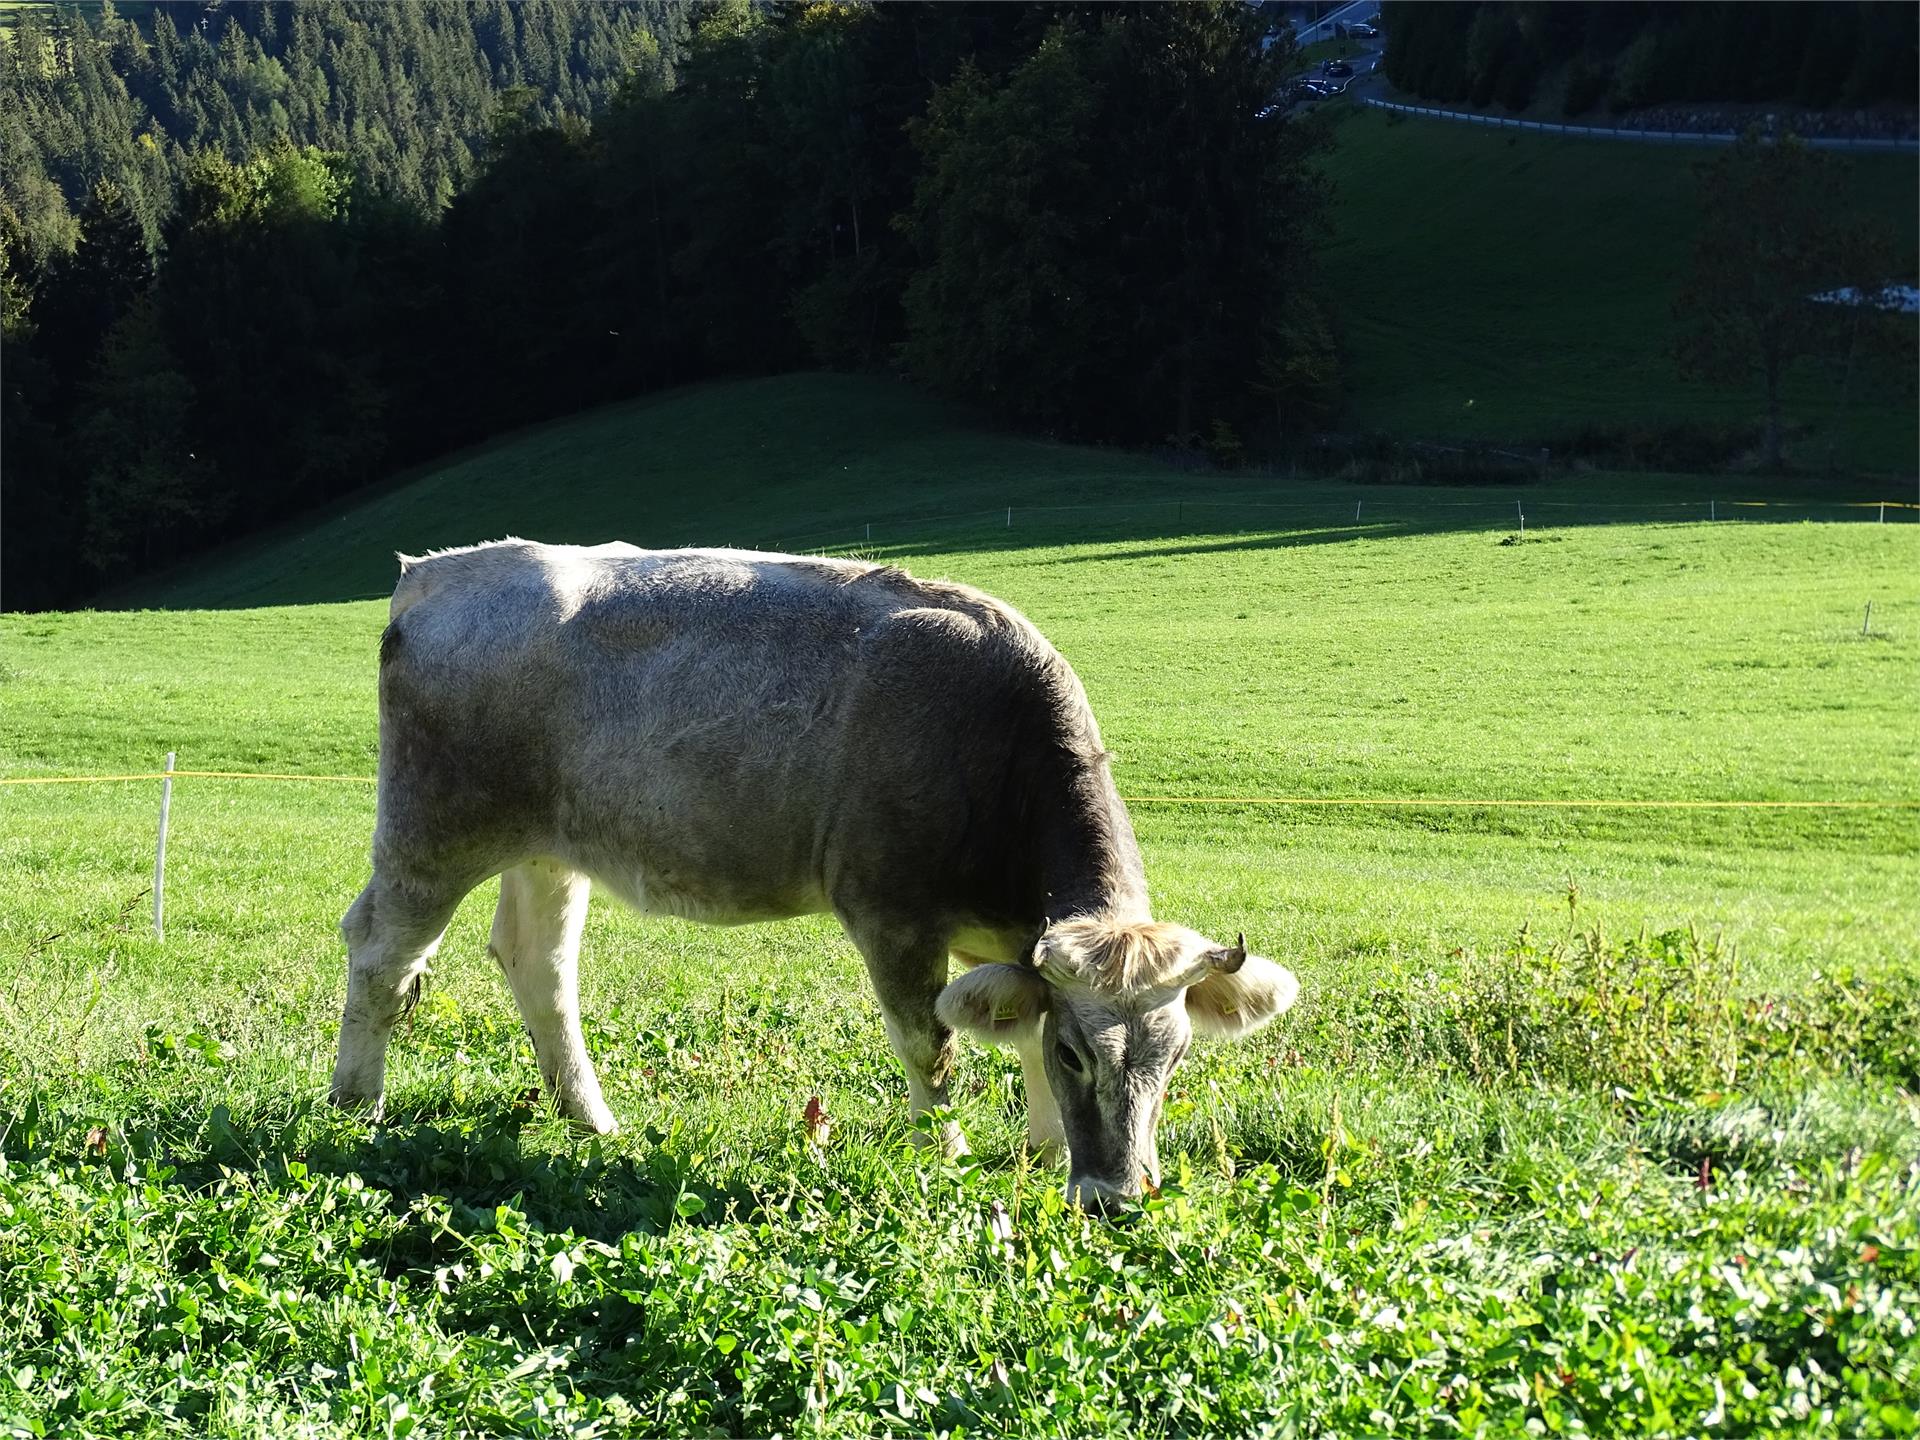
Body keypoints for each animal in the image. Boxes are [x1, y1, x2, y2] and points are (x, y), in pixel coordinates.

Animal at [330, 541, 1297, 1221]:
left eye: (1176, 1057)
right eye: (1076, 1055)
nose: (1118, 1202)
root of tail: (437, 577)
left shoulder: (1013, 936)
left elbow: (1009, 1026)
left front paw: (1045, 1153)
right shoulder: (891, 913)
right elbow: (931, 1045)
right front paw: (946, 1154)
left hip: (548, 848)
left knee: (539, 966)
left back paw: (590, 1120)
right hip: (435, 829)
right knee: (381, 951)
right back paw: (355, 1107)